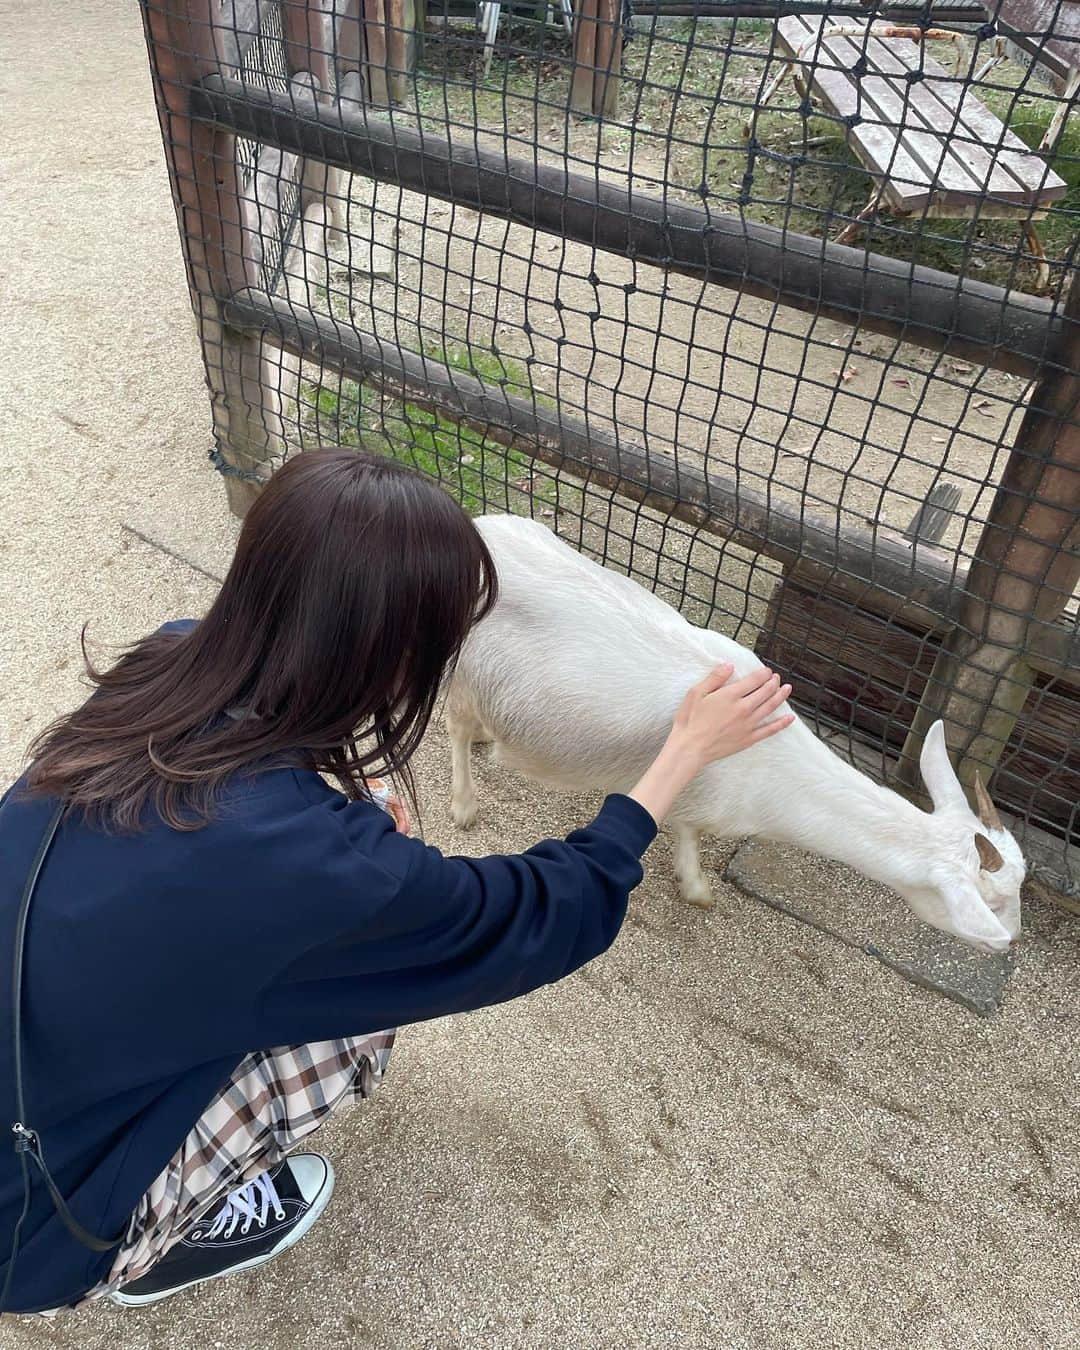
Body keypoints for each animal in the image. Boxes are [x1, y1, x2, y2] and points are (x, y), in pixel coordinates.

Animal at [448, 510, 1031, 955]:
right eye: (992, 903)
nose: (1011, 942)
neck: (774, 762)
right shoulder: (697, 790)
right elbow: (688, 833)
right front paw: (696, 886)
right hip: (463, 664)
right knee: (454, 724)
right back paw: (464, 803)